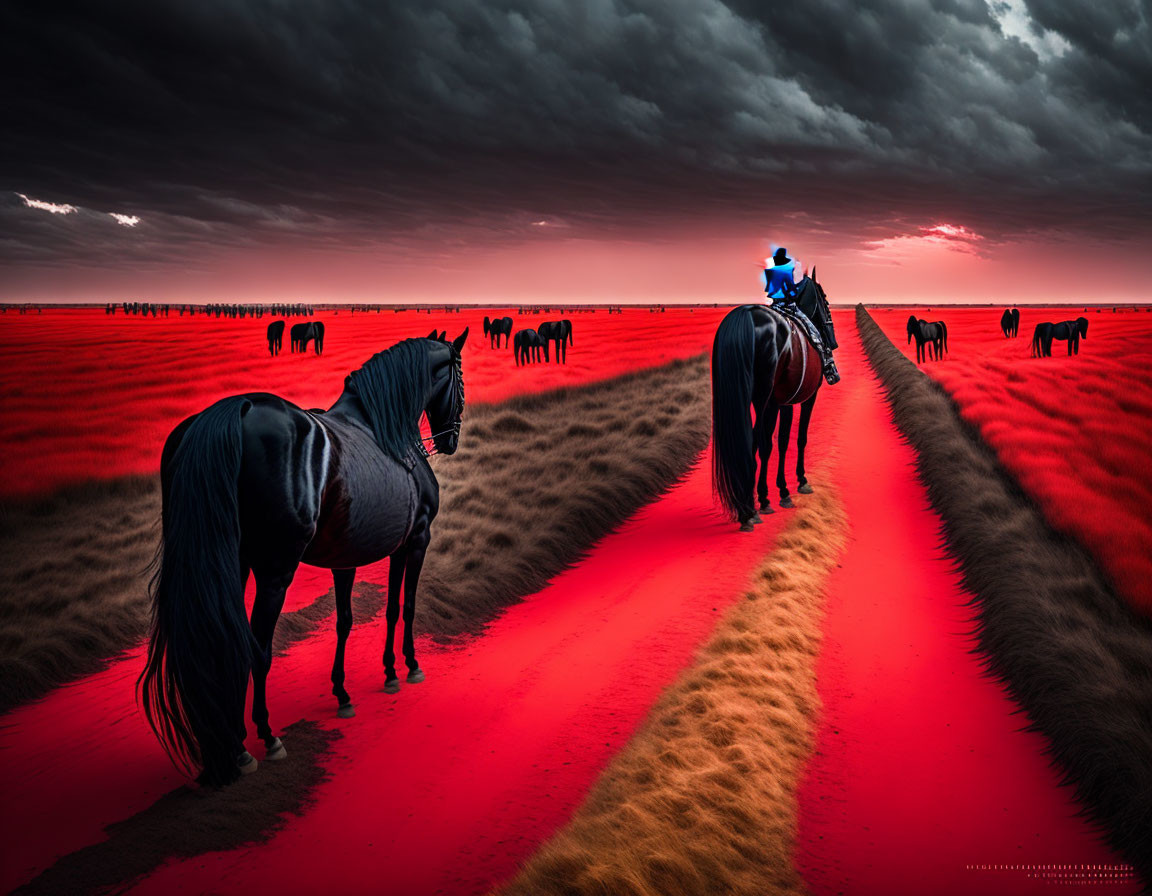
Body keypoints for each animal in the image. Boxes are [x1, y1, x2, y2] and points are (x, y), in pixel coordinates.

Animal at [138, 329, 467, 783]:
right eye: (460, 379)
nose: (450, 439)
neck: (383, 429)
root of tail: (234, 410)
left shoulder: (347, 556)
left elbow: (347, 621)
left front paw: (344, 692)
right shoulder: (415, 539)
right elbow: (402, 607)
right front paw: (405, 667)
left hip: (231, 562)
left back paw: (228, 744)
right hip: (275, 571)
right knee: (257, 647)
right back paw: (262, 737)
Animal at [709, 268, 838, 527]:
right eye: (825, 298)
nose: (833, 341)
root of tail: (746, 316)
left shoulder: (782, 401)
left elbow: (781, 441)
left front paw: (780, 491)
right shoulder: (807, 397)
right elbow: (798, 438)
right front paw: (798, 482)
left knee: (754, 441)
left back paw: (747, 506)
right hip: (761, 397)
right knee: (754, 441)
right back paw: (751, 509)